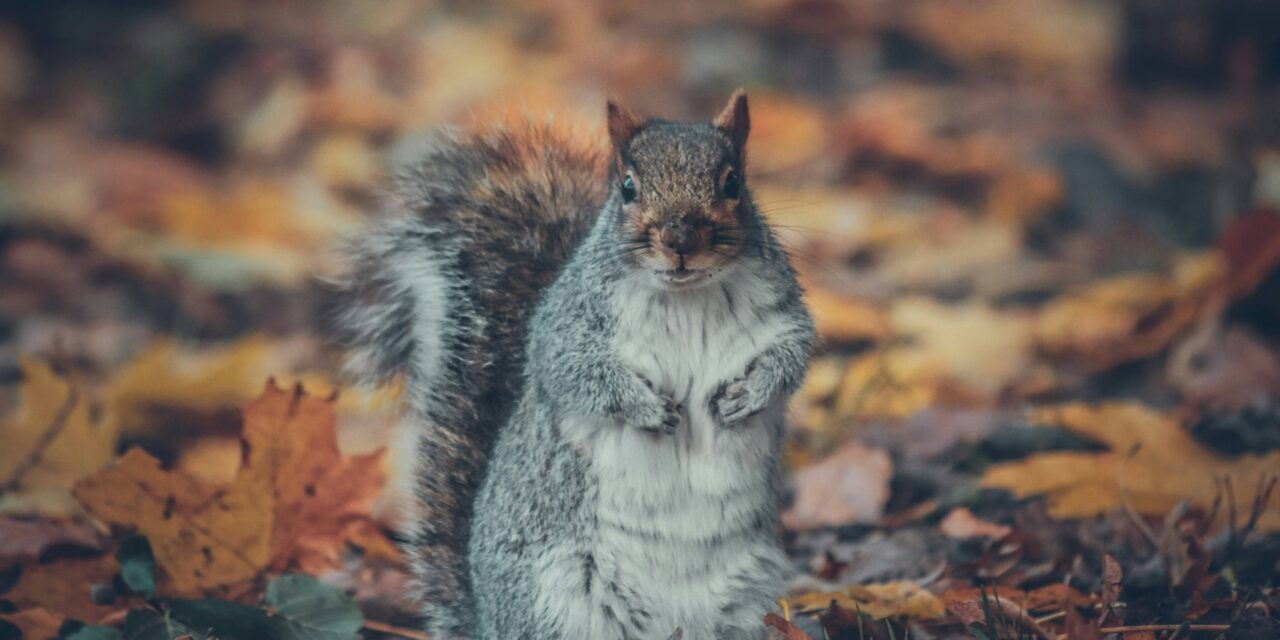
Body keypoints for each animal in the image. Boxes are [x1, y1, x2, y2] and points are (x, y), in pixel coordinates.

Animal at [335, 91, 814, 640]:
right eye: (627, 187)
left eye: (733, 183)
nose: (680, 239)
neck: (687, 296)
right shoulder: (564, 327)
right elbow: (574, 371)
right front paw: (645, 408)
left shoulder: (782, 315)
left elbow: (792, 356)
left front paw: (749, 395)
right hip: (560, 599)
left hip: (749, 604)